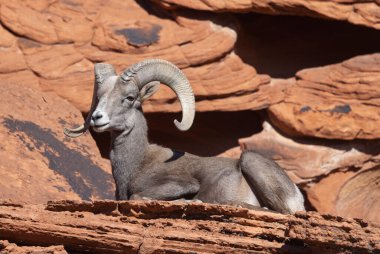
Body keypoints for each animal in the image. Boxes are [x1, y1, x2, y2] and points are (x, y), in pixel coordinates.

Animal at [63, 59, 304, 214]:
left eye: (129, 98)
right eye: (100, 97)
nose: (97, 118)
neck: (136, 164)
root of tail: (297, 195)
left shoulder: (183, 185)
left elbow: (137, 197)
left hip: (250, 160)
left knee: (282, 212)